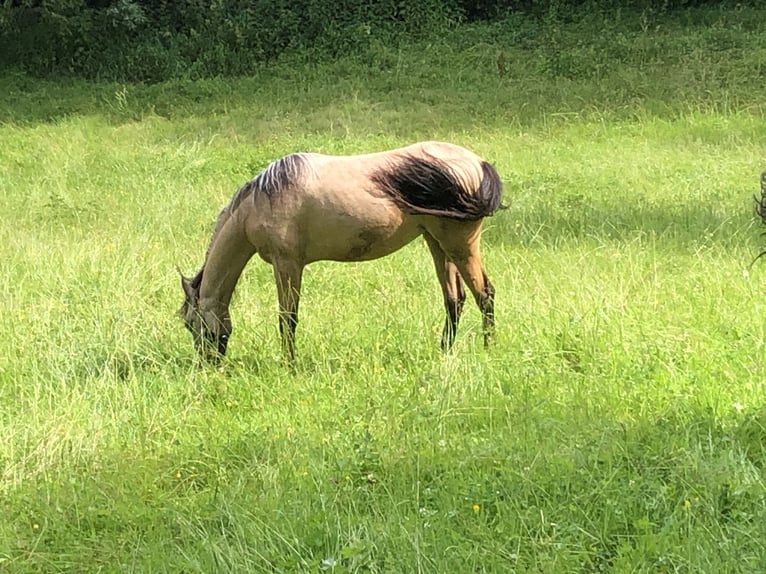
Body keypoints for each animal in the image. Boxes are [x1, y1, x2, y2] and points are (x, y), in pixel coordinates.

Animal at [179, 141, 504, 364]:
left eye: (190, 323)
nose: (207, 364)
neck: (263, 199)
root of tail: (478, 163)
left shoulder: (287, 264)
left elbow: (288, 318)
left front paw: (289, 364)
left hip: (459, 244)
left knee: (484, 293)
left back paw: (489, 349)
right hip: (437, 242)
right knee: (454, 299)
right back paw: (444, 351)